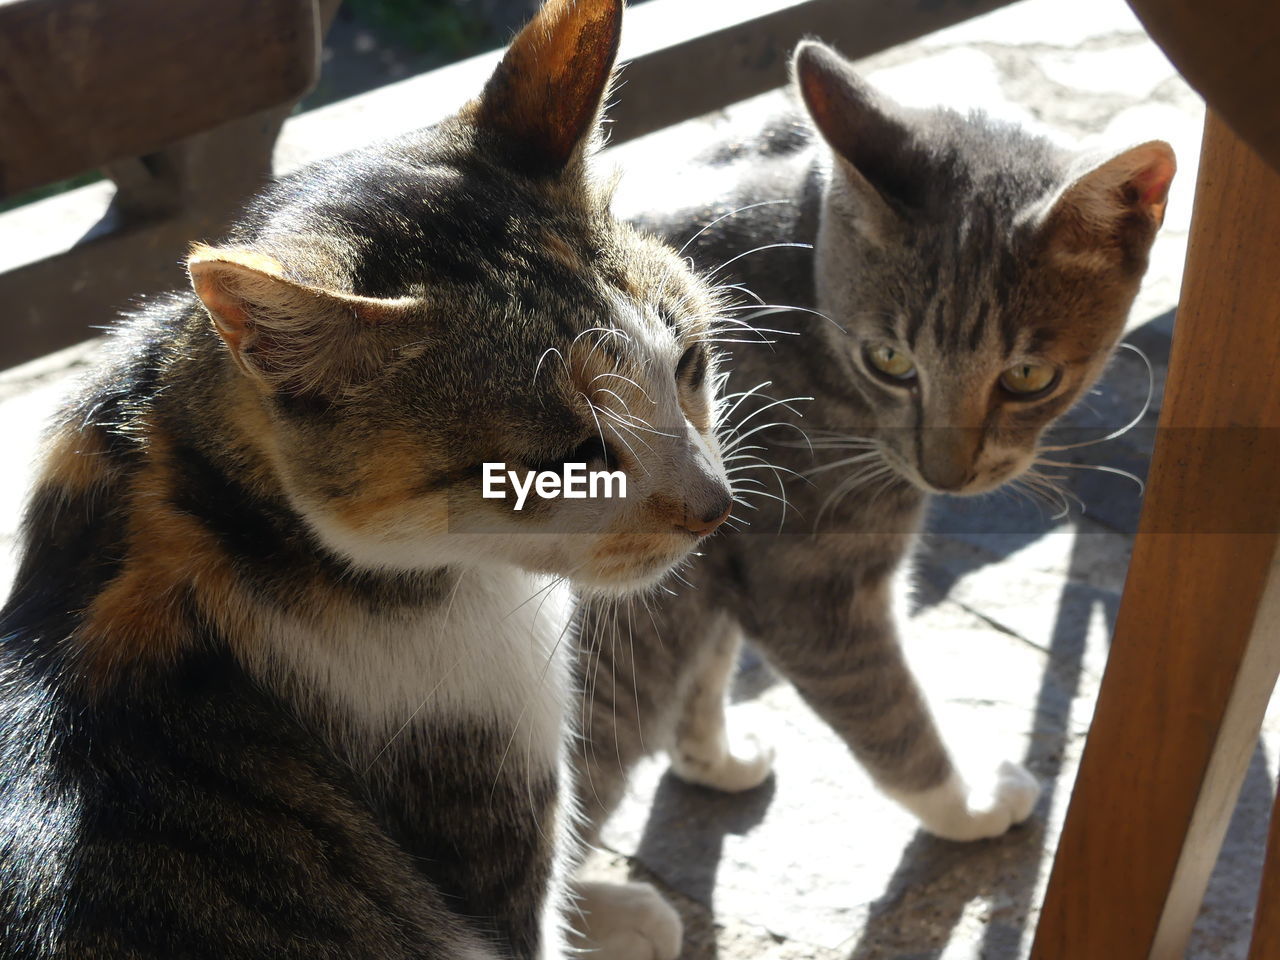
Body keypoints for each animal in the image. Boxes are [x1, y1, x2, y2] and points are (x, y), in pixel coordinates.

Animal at [576, 35, 1172, 957]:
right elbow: (890, 714)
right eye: (890, 360)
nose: (946, 472)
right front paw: (971, 805)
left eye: (1028, 377)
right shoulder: (812, 578)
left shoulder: (719, 555)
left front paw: (713, 757)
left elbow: (707, 668)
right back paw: (623, 915)